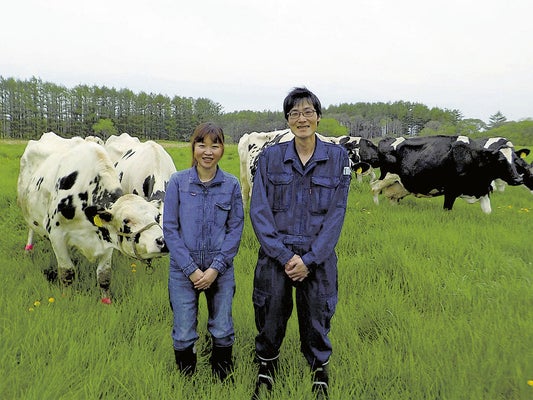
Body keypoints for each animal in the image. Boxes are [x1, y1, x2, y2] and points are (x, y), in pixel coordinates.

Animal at [18, 133, 168, 302]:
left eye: (156, 217)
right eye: (126, 221)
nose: (162, 242)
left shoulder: (108, 237)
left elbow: (104, 276)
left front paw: (106, 301)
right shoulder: (57, 235)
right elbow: (67, 273)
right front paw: (66, 299)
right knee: (31, 228)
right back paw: (28, 249)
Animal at [372, 134, 520, 214]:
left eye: (515, 159)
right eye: (501, 160)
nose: (518, 179)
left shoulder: (482, 189)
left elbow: (488, 212)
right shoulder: (450, 190)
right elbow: (447, 210)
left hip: (399, 184)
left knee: (392, 197)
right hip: (387, 176)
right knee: (374, 188)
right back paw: (376, 207)